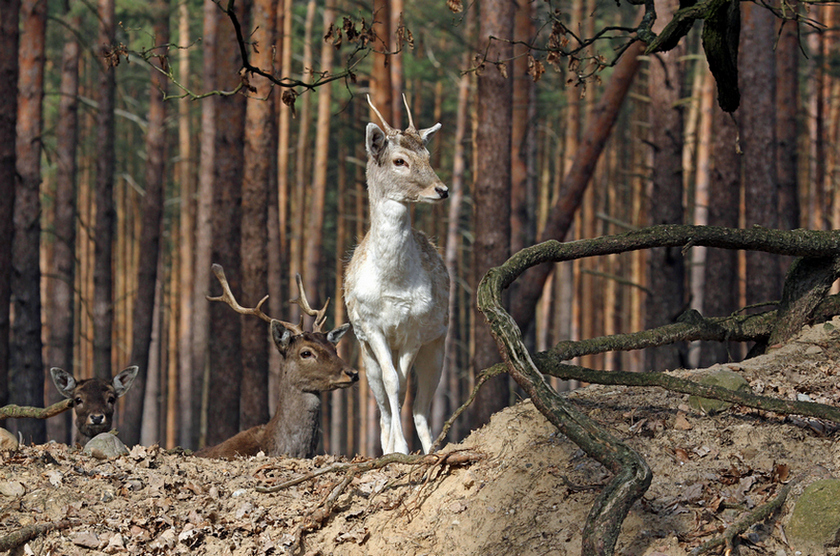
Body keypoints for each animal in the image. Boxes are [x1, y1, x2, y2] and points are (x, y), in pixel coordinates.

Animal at [342, 93, 450, 454]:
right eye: (399, 161)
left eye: (428, 156)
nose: (442, 189)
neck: (393, 285)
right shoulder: (371, 325)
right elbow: (392, 384)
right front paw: (396, 449)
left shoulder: (415, 329)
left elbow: (402, 385)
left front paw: (403, 448)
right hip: (366, 354)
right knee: (383, 406)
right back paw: (386, 446)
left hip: (438, 345)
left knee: (421, 406)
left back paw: (431, 450)